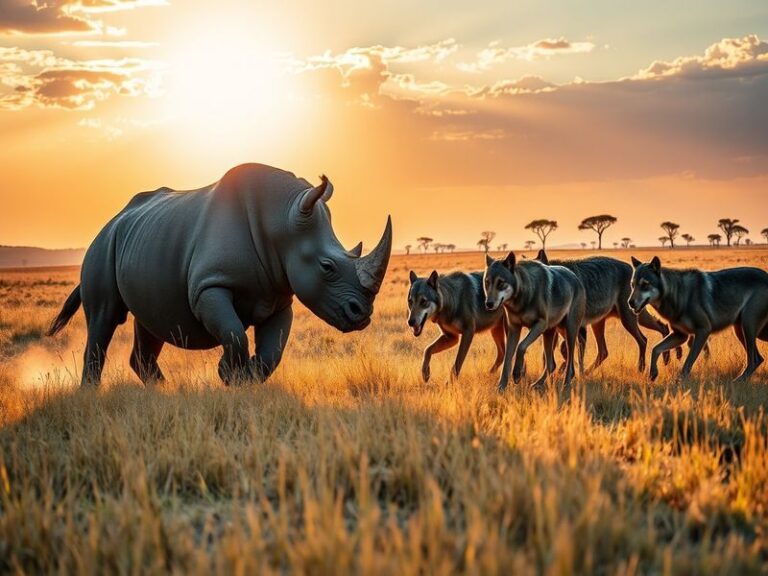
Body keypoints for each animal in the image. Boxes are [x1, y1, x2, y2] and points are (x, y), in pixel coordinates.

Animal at [47, 163, 392, 386]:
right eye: (326, 267)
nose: (361, 314)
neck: (281, 223)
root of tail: (112, 219)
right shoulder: (209, 286)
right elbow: (234, 332)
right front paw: (229, 373)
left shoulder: (280, 296)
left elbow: (272, 351)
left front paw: (243, 377)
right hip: (103, 245)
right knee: (105, 317)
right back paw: (91, 396)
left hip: (142, 242)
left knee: (149, 323)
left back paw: (164, 394)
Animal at [484, 252, 586, 390]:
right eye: (487, 283)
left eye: (501, 283)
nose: (488, 304)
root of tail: (575, 277)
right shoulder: (514, 329)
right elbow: (507, 360)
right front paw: (501, 387)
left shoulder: (540, 324)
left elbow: (521, 346)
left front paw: (516, 374)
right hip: (549, 333)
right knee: (551, 364)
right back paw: (537, 384)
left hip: (568, 331)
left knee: (569, 361)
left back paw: (565, 384)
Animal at [629, 256, 768, 381]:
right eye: (632, 285)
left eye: (645, 285)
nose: (630, 303)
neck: (679, 295)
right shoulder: (680, 335)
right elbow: (655, 349)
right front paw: (653, 373)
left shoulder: (703, 331)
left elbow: (687, 363)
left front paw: (679, 381)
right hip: (740, 330)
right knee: (758, 359)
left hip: (747, 326)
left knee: (754, 359)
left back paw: (738, 380)